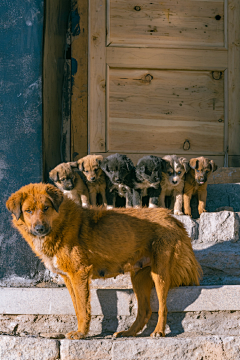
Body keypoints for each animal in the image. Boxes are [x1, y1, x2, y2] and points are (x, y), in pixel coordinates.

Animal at [5, 183, 201, 340]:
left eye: (46, 208)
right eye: (28, 211)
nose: (39, 228)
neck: (61, 225)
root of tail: (171, 217)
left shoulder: (79, 273)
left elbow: (83, 308)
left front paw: (81, 333)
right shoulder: (68, 278)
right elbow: (77, 308)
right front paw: (80, 331)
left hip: (159, 274)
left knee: (162, 307)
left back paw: (158, 331)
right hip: (138, 277)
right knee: (145, 311)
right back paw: (128, 333)